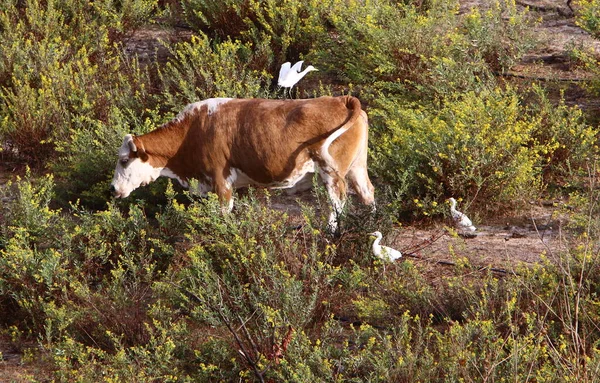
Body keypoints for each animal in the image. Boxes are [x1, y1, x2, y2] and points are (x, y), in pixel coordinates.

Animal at [109, 96, 376, 231]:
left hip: (332, 173)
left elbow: (224, 214)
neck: (192, 129)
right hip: (357, 167)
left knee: (338, 203)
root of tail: (342, 99)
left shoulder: (221, 182)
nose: (112, 189)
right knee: (367, 194)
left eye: (124, 160)